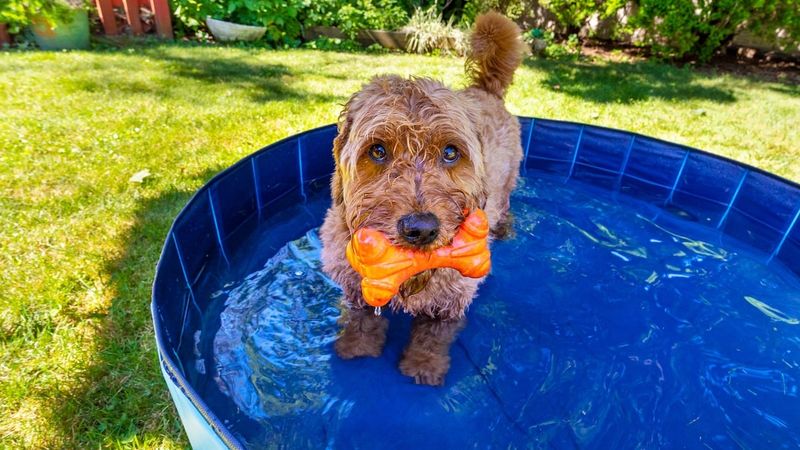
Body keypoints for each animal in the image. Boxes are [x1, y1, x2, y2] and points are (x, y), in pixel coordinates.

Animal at [318, 12, 524, 384]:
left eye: (450, 152)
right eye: (378, 150)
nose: (421, 229)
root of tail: (484, 89)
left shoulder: (452, 296)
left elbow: (433, 335)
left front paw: (423, 366)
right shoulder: (355, 283)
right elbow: (361, 318)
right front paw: (357, 347)